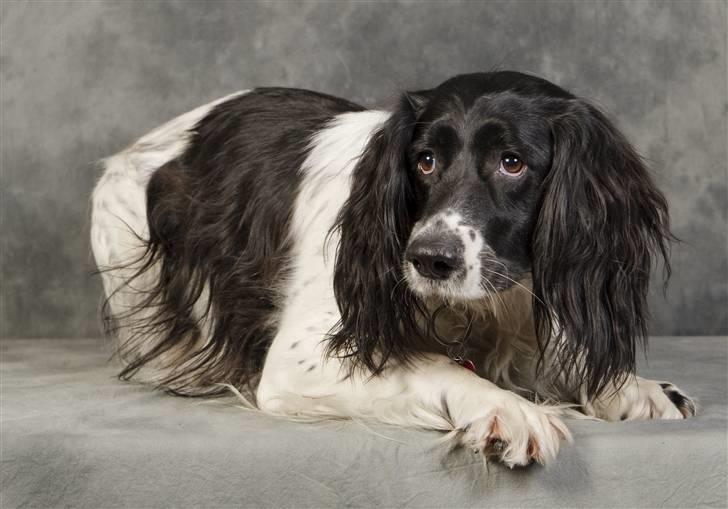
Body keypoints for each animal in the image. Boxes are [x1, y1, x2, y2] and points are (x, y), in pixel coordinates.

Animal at [94, 72, 696, 468]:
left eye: (513, 162)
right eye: (424, 161)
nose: (430, 259)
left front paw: (635, 388)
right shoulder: (302, 360)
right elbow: (436, 365)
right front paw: (506, 409)